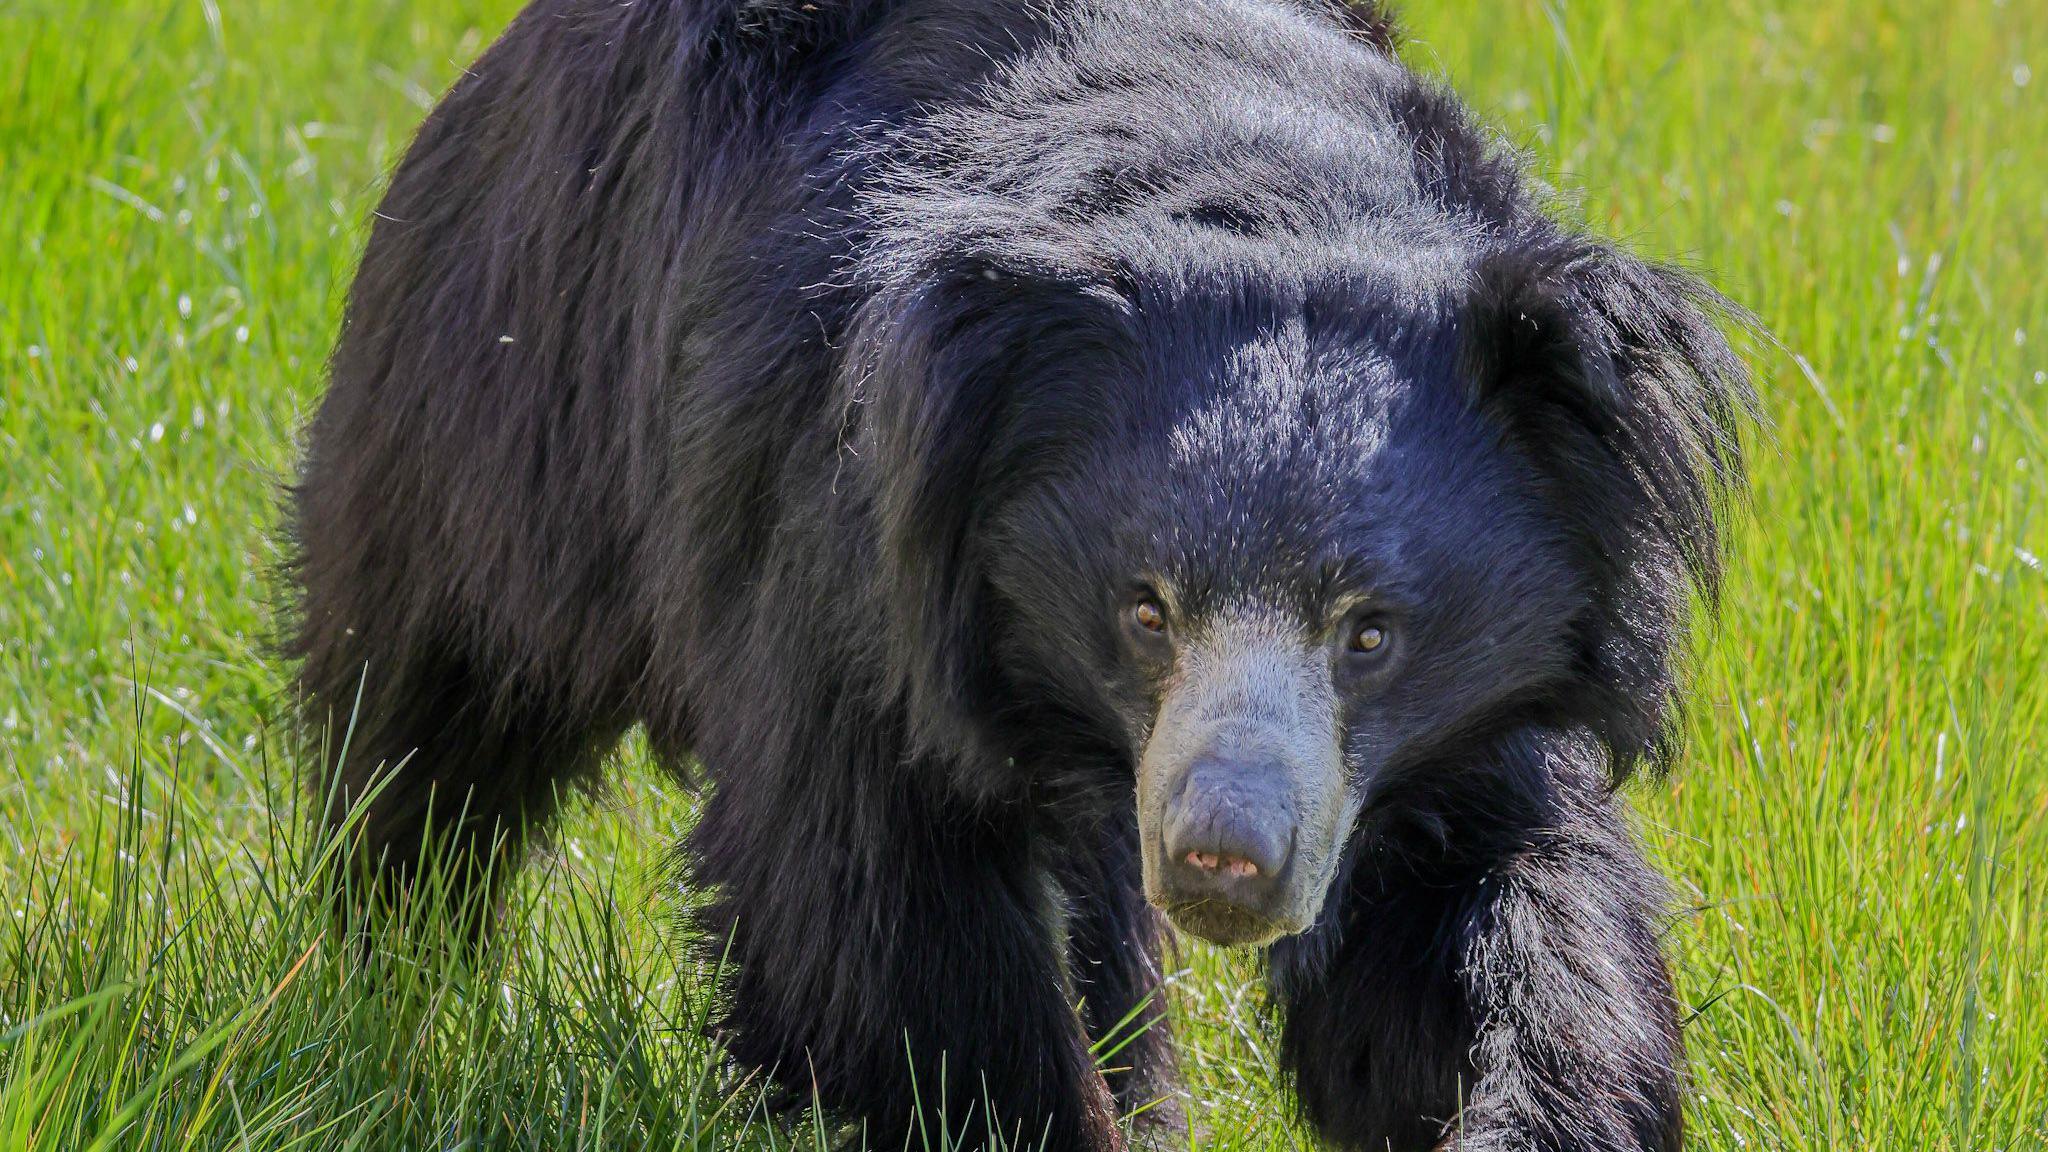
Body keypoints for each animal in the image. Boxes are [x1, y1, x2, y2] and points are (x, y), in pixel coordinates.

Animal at [287, 1, 1750, 1149]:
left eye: (1369, 632)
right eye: (1145, 609)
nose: (1223, 863)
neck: (1246, 178)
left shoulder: (1443, 730)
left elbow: (1489, 910)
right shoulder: (844, 543)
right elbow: (874, 900)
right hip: (501, 407)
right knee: (428, 717)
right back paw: (379, 978)